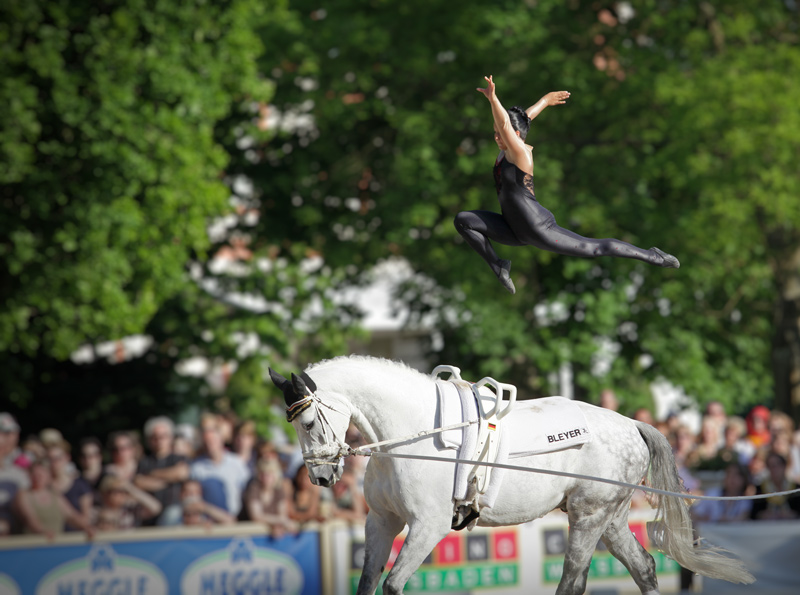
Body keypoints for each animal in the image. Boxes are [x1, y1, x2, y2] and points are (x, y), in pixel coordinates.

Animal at [270, 356, 756, 592]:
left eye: (308, 422)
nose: (320, 479)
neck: (409, 432)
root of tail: (630, 424)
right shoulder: (381, 521)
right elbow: (368, 582)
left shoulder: (427, 526)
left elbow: (391, 584)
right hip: (612, 518)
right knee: (645, 568)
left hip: (589, 517)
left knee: (572, 581)